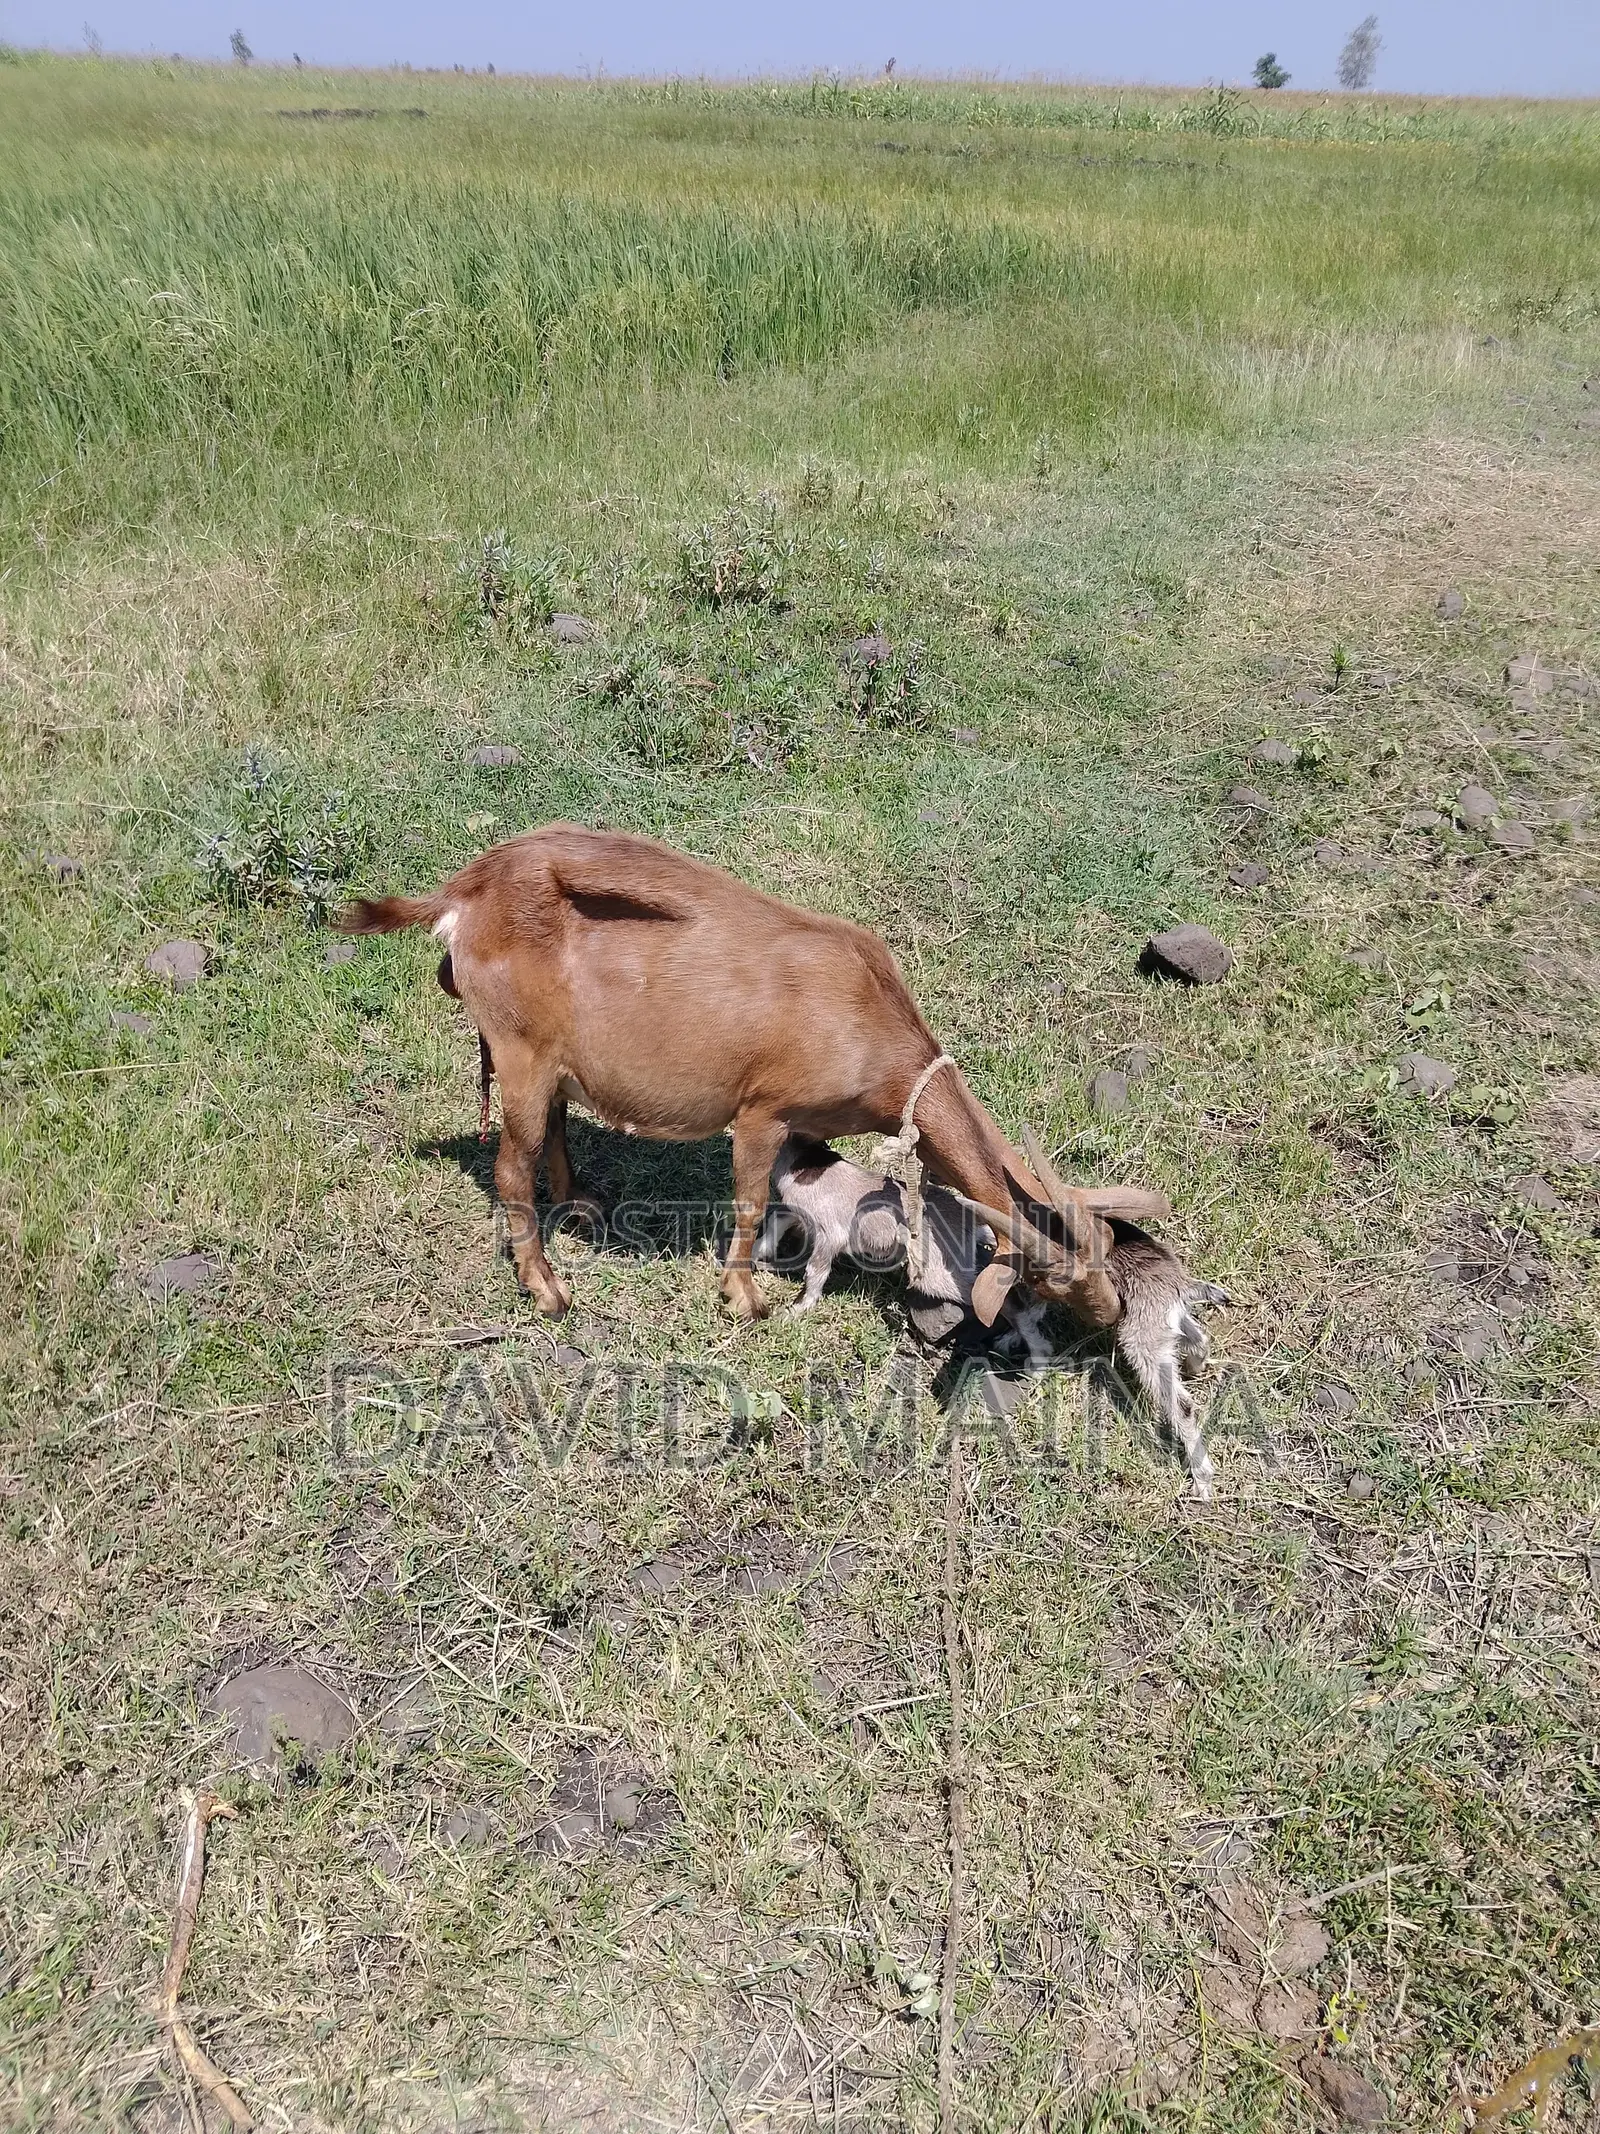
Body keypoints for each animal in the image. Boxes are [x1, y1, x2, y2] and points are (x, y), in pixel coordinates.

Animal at [338, 825, 1166, 1329]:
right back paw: (547, 1288)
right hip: (520, 1053)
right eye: (1050, 1282)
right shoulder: (763, 1107)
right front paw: (744, 1297)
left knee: (556, 1131)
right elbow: (747, 1200)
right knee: (512, 1168)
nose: (1110, 1318)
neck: (866, 1013)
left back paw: (583, 1206)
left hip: (548, 1063)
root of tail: (461, 894)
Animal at [756, 1134, 1226, 1495]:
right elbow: (773, 1228)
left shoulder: (828, 1235)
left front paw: (795, 1311)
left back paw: (1201, 1479)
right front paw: (758, 1263)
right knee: (1196, 1336)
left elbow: (816, 1273)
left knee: (1180, 1404)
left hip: (1136, 1339)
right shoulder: (791, 1212)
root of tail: (1176, 1282)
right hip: (1162, 1325)